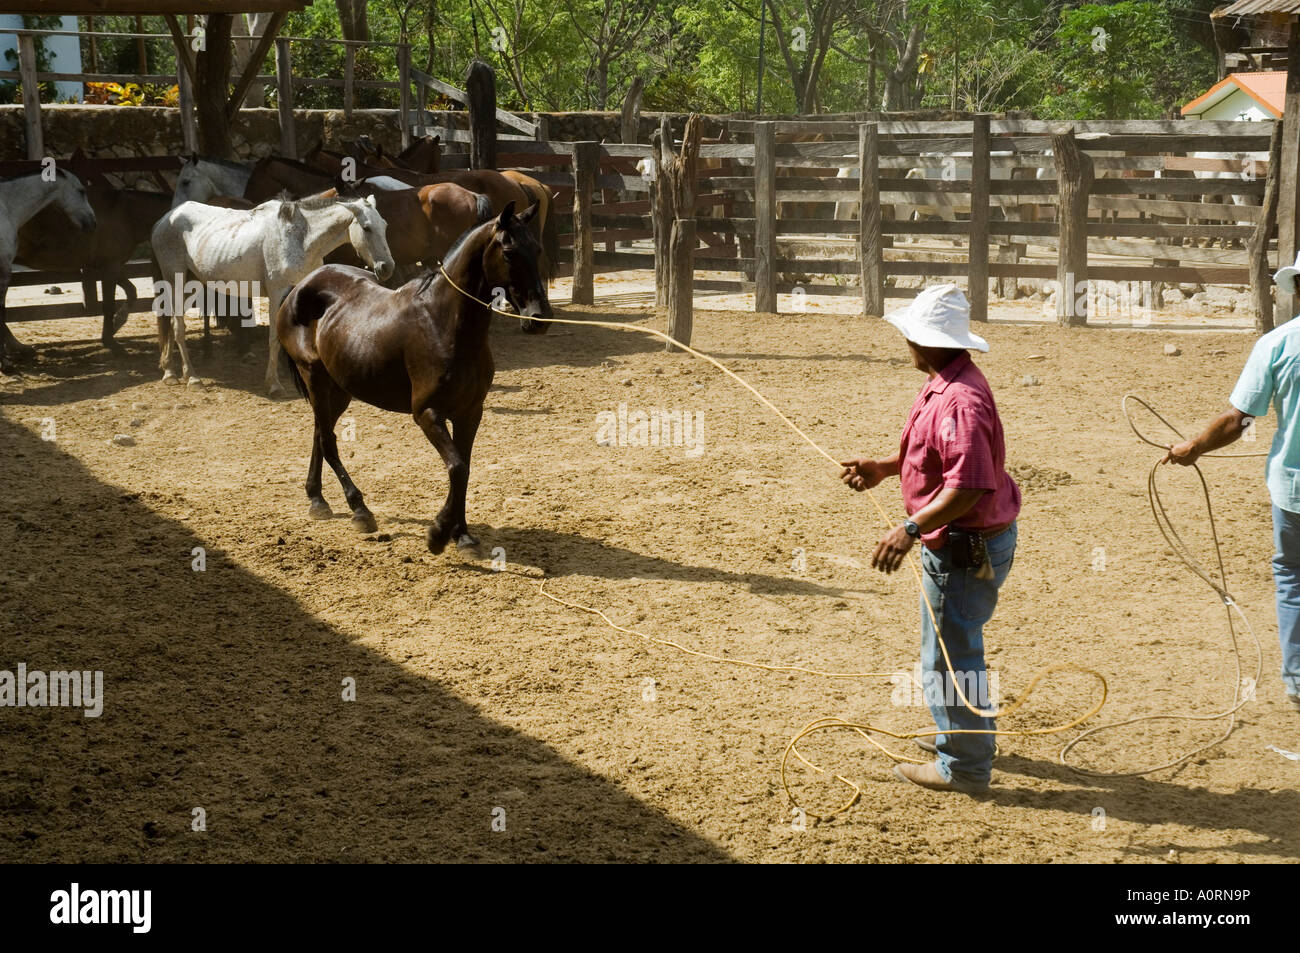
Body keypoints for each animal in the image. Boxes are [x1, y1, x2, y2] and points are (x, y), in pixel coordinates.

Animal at [150, 191, 390, 392]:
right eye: (367, 227)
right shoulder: (277, 293)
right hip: (175, 281)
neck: (300, 238)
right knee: (177, 327)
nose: (387, 267)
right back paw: (193, 378)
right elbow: (275, 338)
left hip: (191, 282)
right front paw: (273, 384)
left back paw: (169, 372)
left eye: (385, 226)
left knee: (169, 323)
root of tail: (165, 219)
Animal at [276, 202, 551, 551]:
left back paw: (317, 500)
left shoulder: (469, 413)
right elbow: (458, 468)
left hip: (338, 390)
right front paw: (438, 533)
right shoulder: (427, 413)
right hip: (315, 378)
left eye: (537, 248)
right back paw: (359, 510)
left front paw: (462, 535)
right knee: (327, 441)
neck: (443, 323)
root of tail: (300, 287)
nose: (539, 317)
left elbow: (465, 468)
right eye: (509, 251)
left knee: (319, 434)